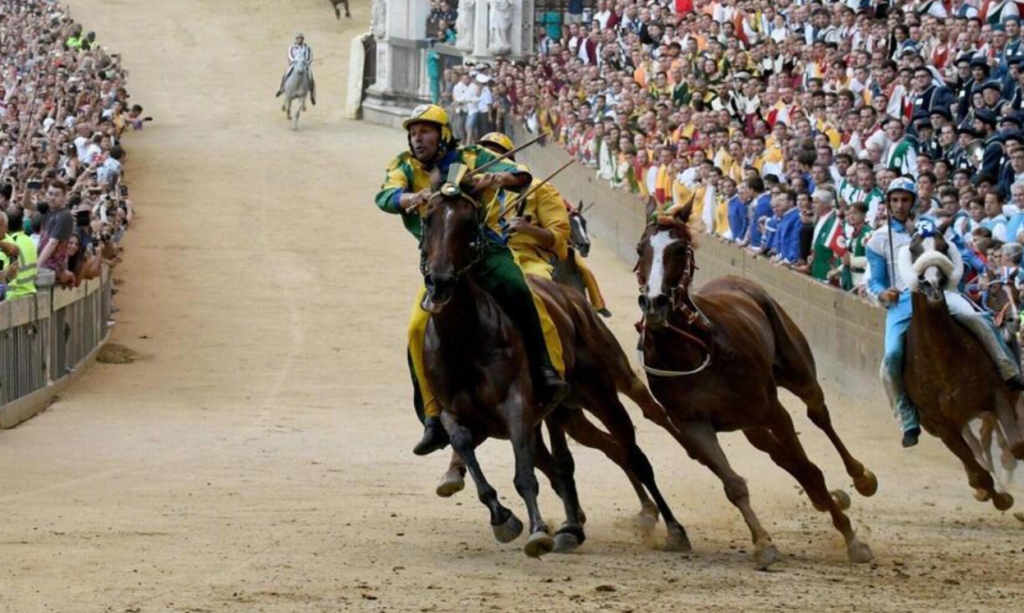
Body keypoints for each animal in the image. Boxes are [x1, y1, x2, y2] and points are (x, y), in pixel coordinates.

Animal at [419, 180, 692, 560]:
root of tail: (572, 301)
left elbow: (526, 474)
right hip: (567, 412)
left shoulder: (517, 406)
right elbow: (465, 447)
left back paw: (673, 524)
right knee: (606, 450)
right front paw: (503, 517)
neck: (465, 338)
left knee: (636, 446)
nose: (440, 281)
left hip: (603, 389)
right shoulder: (455, 411)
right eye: (428, 219)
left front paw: (537, 530)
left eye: (469, 223)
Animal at [630, 204, 880, 568]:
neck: (695, 348)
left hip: (797, 370)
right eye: (641, 250)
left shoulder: (771, 409)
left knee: (818, 414)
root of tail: (738, 280)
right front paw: (763, 542)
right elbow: (734, 485)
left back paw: (860, 477)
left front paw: (853, 540)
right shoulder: (693, 423)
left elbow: (811, 468)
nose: (655, 302)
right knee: (778, 453)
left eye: (678, 249)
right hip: (749, 424)